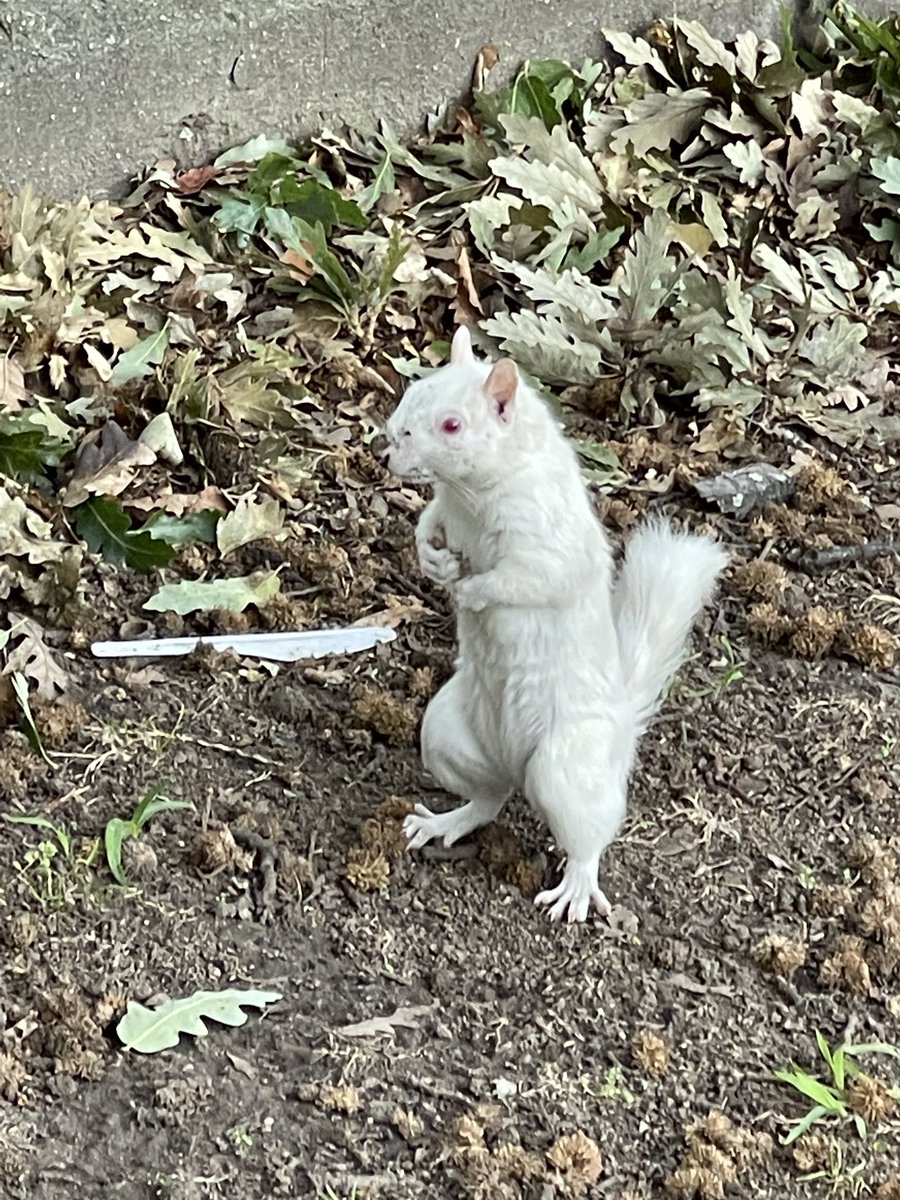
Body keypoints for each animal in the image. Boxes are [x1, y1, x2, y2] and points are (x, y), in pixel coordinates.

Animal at [385, 326, 727, 924]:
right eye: (415, 389)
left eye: (452, 425)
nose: (389, 441)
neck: (474, 494)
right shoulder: (446, 511)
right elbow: (427, 525)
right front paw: (433, 562)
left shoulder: (546, 545)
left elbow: (525, 581)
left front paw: (470, 593)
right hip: (447, 735)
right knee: (489, 797)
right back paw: (444, 822)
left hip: (565, 765)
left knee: (585, 834)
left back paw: (575, 886)